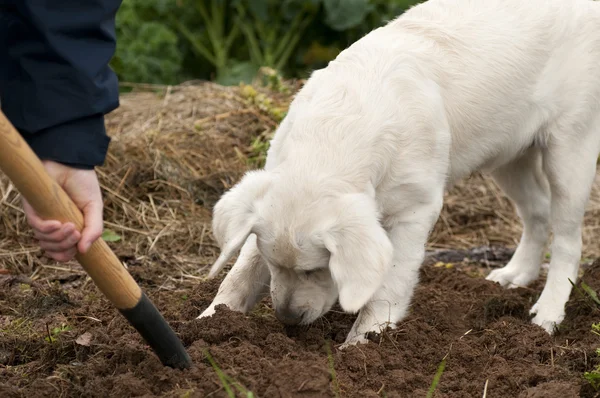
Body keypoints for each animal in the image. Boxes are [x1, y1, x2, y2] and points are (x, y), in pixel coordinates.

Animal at [197, 0, 600, 346]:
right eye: (273, 264)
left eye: (318, 269)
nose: (288, 319)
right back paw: (514, 276)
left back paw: (546, 315)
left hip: (571, 146)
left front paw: (363, 344)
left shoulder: (415, 210)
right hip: (508, 154)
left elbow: (390, 282)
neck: (334, 136)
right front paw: (208, 323)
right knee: (537, 212)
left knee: (568, 239)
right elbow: (240, 272)